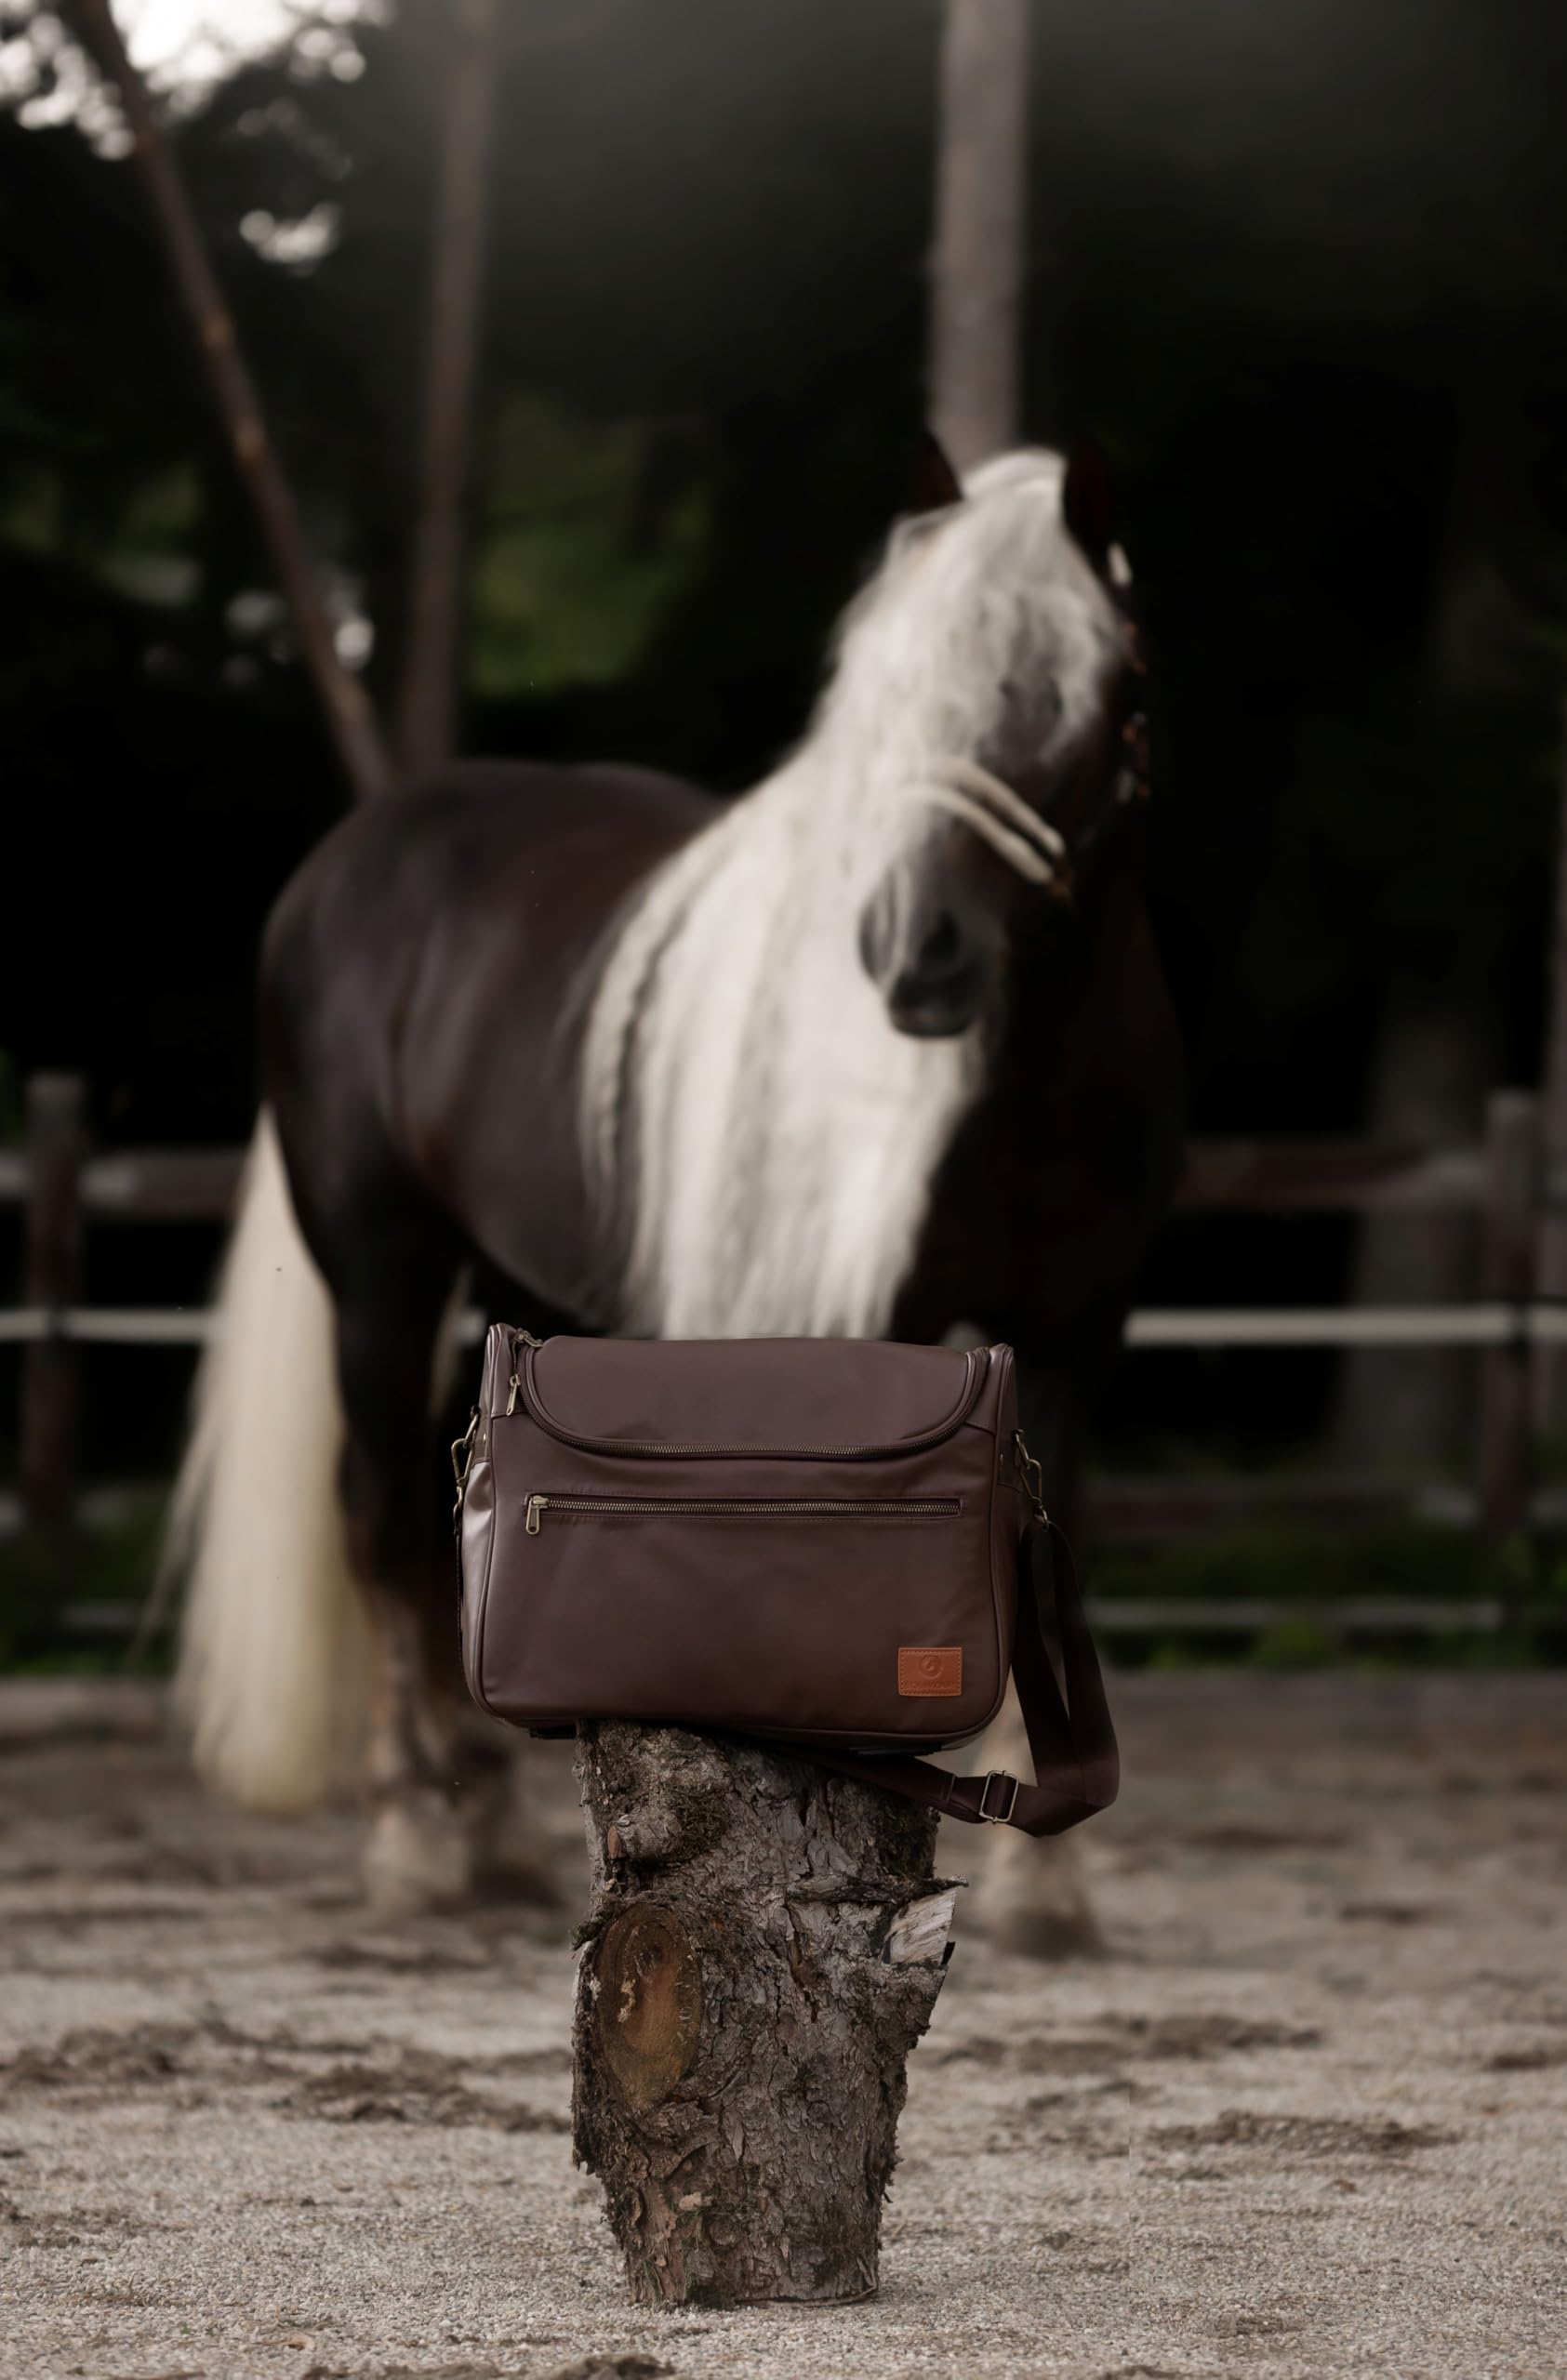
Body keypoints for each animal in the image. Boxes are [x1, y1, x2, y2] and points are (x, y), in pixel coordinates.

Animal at [170, 438, 1184, 1954]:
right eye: (889, 693)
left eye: (1090, 689)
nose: (918, 953)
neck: (1021, 1101)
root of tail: (356, 859)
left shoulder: (1077, 1335)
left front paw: (1044, 1887)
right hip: (380, 1268)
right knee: (375, 1513)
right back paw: (414, 1831)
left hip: (504, 1288)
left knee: (446, 1515)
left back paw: (489, 1822)